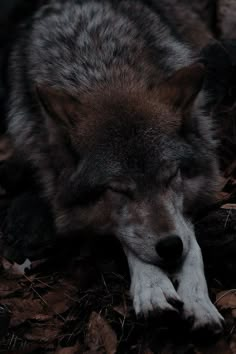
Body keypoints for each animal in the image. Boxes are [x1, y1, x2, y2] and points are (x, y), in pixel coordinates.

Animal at [5, 0, 223, 334]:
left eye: (171, 176)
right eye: (118, 190)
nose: (169, 247)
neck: (102, 67)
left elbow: (191, 242)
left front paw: (198, 300)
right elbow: (127, 236)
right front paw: (152, 288)